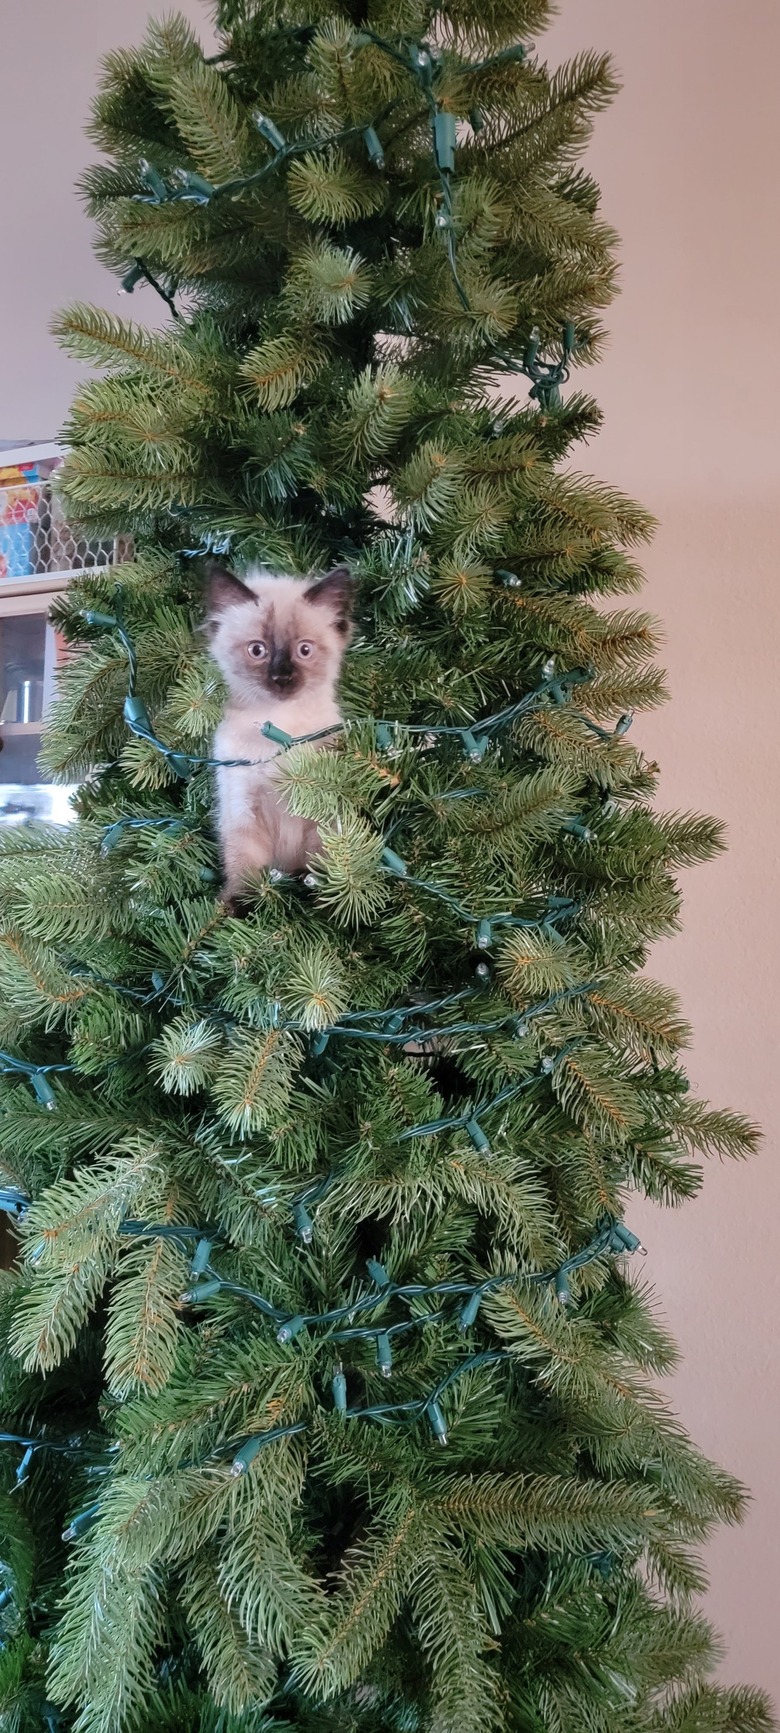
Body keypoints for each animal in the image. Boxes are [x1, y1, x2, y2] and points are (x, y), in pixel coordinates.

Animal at [205, 561, 355, 908]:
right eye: (257, 650)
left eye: (304, 650)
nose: (282, 678)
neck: (280, 730)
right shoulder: (244, 811)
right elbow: (245, 867)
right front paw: (242, 904)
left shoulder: (321, 809)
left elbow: (320, 860)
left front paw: (319, 898)